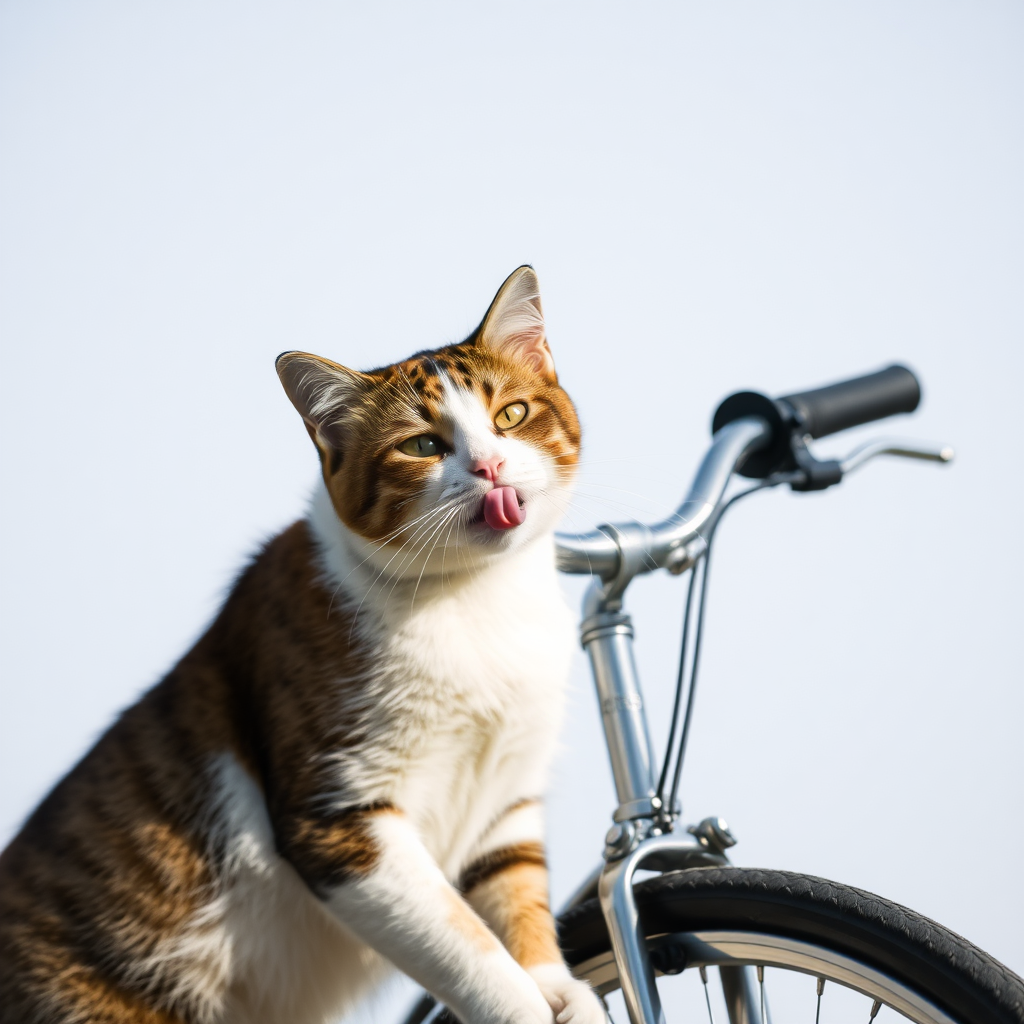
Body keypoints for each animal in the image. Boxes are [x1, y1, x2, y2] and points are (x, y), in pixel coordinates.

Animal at [0, 266, 606, 1024]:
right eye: (423, 446)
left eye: (513, 415)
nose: (492, 466)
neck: (475, 599)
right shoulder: (341, 817)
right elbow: (468, 947)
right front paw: (521, 1004)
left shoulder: (506, 803)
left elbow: (517, 896)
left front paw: (558, 986)